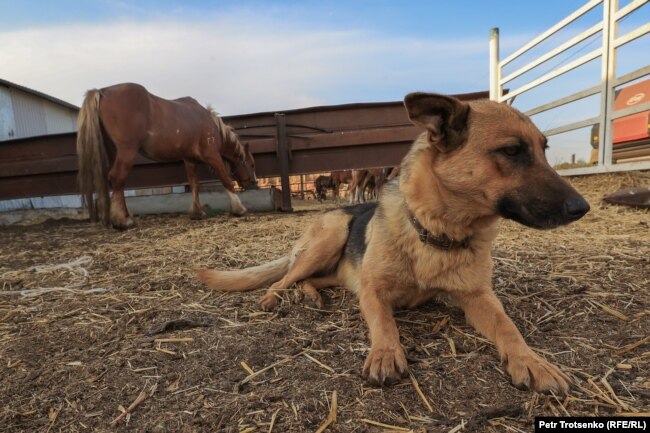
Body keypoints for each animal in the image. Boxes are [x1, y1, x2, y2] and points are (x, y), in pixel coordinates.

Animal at [76, 82, 256, 230]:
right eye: (251, 164)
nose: (254, 182)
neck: (207, 122)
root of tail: (103, 91)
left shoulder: (189, 160)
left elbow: (194, 185)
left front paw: (197, 213)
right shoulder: (212, 155)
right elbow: (225, 179)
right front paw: (239, 209)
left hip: (114, 151)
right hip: (127, 150)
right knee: (117, 177)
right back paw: (123, 221)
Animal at [196, 93, 588, 394]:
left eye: (544, 150)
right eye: (511, 151)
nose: (582, 208)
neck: (435, 232)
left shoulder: (478, 297)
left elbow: (508, 327)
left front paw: (531, 361)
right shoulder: (373, 291)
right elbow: (384, 323)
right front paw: (385, 353)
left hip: (337, 268)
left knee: (312, 279)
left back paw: (312, 295)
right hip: (333, 233)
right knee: (286, 276)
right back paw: (272, 297)